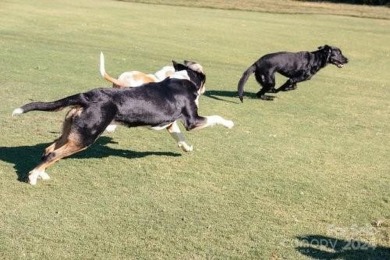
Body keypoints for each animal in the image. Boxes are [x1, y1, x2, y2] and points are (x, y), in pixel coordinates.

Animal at [12, 61, 233, 185]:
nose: (205, 89)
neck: (181, 79)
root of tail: (87, 96)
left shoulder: (172, 123)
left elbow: (179, 135)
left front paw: (186, 147)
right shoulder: (192, 120)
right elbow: (215, 118)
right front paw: (230, 123)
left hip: (72, 131)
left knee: (49, 149)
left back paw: (42, 174)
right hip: (85, 137)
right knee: (54, 154)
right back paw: (34, 176)